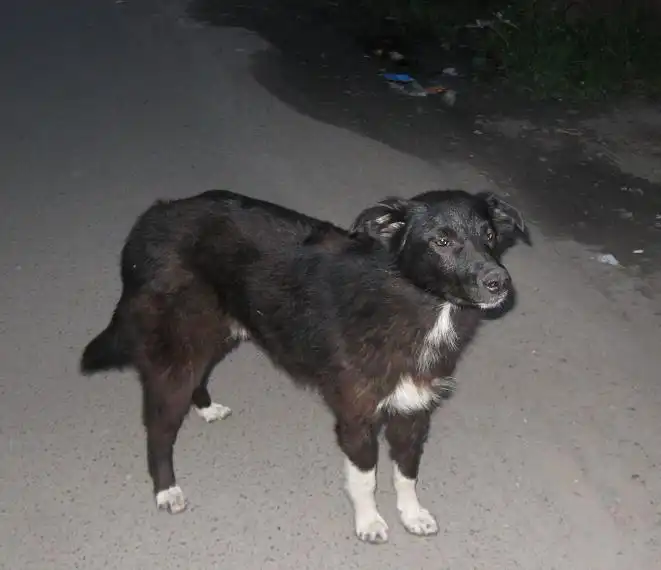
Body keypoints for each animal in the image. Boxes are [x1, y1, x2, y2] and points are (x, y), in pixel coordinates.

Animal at [81, 188, 528, 543]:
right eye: (442, 240)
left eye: (489, 236)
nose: (499, 282)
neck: (415, 302)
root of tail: (153, 215)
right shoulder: (357, 416)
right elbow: (365, 476)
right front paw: (369, 522)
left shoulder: (413, 409)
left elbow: (407, 471)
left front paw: (412, 514)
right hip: (178, 352)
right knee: (158, 429)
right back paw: (166, 490)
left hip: (216, 335)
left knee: (198, 379)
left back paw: (206, 407)